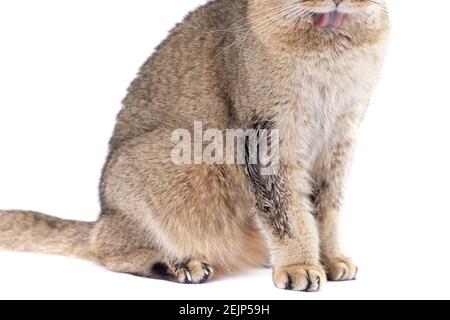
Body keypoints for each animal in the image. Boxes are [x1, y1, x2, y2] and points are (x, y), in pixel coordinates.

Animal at [0, 0, 390, 292]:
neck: (332, 49)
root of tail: (104, 212)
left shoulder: (341, 136)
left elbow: (328, 207)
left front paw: (331, 258)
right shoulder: (266, 136)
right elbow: (288, 213)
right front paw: (300, 265)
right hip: (188, 158)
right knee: (103, 245)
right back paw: (180, 265)